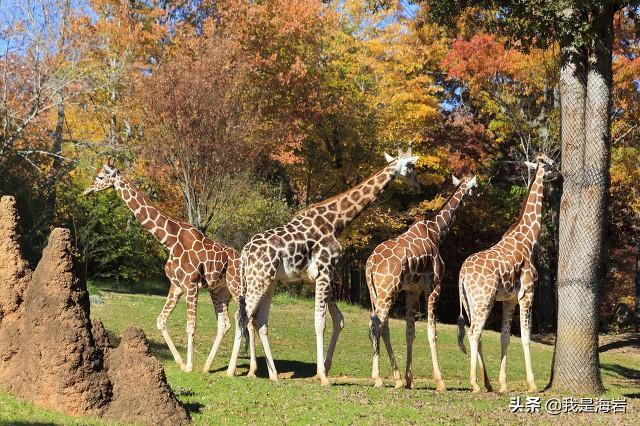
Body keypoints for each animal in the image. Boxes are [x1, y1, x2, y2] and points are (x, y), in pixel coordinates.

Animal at [84, 160, 242, 372]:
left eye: (101, 176)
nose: (87, 190)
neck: (169, 242)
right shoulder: (176, 285)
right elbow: (161, 321)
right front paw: (180, 362)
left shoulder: (191, 285)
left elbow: (190, 326)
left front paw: (189, 366)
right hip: (219, 290)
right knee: (225, 324)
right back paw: (208, 367)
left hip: (236, 287)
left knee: (244, 320)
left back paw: (235, 370)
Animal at [229, 145, 420, 384]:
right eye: (411, 166)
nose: (417, 185)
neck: (336, 221)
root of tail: (245, 252)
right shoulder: (325, 272)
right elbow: (321, 322)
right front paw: (323, 376)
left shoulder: (316, 278)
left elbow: (338, 319)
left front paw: (325, 369)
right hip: (259, 280)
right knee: (242, 316)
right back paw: (232, 370)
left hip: (267, 281)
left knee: (259, 320)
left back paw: (273, 375)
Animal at [364, 173, 476, 390]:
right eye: (474, 186)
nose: (475, 194)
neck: (437, 233)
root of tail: (370, 263)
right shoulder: (434, 287)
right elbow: (432, 331)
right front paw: (439, 381)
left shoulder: (412, 290)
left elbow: (410, 331)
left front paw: (410, 379)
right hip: (387, 291)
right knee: (378, 326)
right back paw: (379, 378)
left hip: (376, 292)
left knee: (381, 325)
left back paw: (397, 378)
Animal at [458, 153, 556, 392]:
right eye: (551, 164)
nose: (559, 174)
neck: (528, 240)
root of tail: (462, 275)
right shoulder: (527, 293)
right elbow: (526, 337)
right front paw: (532, 384)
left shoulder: (509, 299)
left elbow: (505, 337)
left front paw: (503, 384)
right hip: (484, 299)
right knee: (474, 332)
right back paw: (475, 384)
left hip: (471, 301)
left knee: (476, 333)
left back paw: (488, 383)